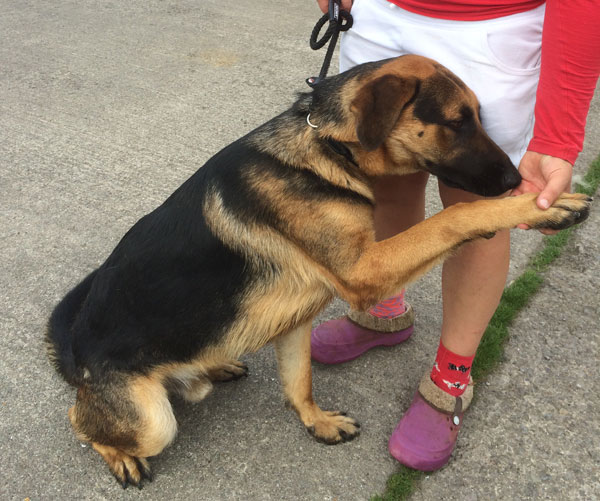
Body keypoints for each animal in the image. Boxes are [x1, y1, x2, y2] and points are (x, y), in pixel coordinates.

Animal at [47, 55, 592, 488]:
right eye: (457, 121)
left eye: (478, 117)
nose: (515, 179)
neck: (330, 147)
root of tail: (76, 354)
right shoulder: (366, 268)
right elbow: (453, 216)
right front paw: (543, 205)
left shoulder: (297, 321)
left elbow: (299, 383)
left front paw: (316, 422)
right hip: (151, 421)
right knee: (79, 418)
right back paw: (120, 454)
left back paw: (217, 363)